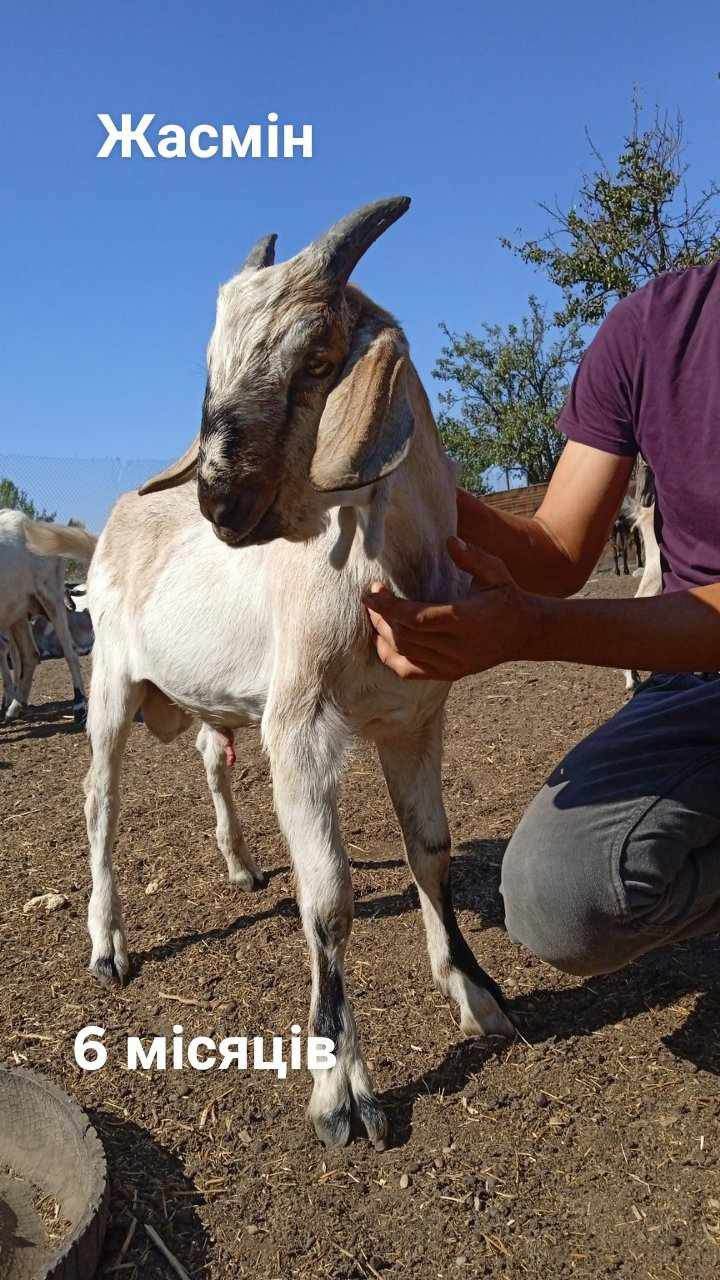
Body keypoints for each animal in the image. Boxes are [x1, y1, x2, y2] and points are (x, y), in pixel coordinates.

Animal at [0, 512, 96, 732]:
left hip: (50, 597)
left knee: (70, 652)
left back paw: (79, 707)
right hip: (17, 612)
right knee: (29, 655)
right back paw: (14, 707)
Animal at [26, 197, 509, 1152]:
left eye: (317, 355)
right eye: (210, 359)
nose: (220, 502)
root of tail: (109, 526)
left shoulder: (415, 718)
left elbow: (431, 850)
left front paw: (474, 990)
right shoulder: (303, 726)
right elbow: (330, 902)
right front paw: (342, 1094)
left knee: (212, 760)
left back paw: (244, 866)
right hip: (110, 689)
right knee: (100, 801)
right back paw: (108, 946)